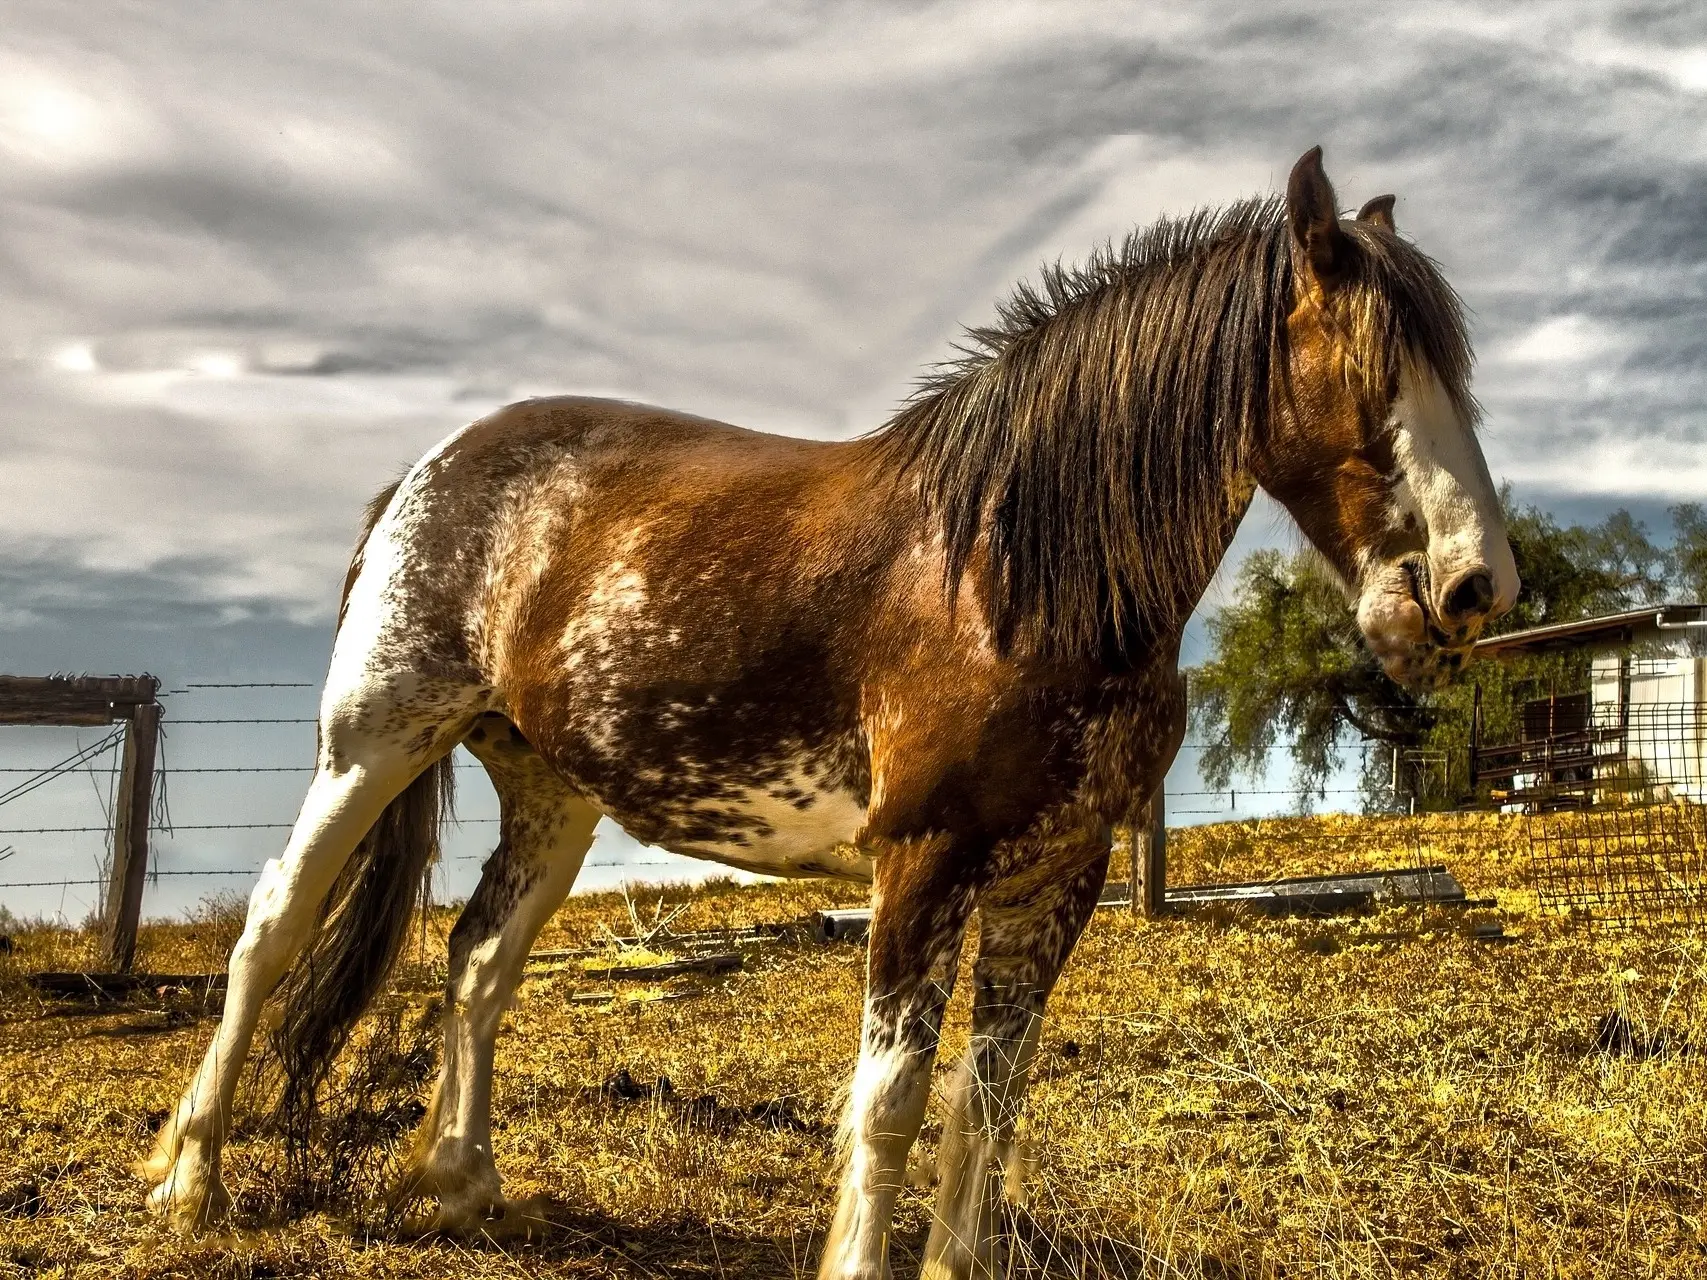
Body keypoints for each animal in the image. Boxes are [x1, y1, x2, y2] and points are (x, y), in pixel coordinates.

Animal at [136, 145, 1522, 1276]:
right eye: (1366, 371)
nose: (1474, 588)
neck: (1010, 568)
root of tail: (428, 470)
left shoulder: (1055, 874)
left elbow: (989, 1097)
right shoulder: (922, 861)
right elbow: (892, 1097)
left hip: (553, 792)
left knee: (479, 957)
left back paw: (465, 1185)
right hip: (373, 742)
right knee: (271, 928)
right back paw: (190, 1178)